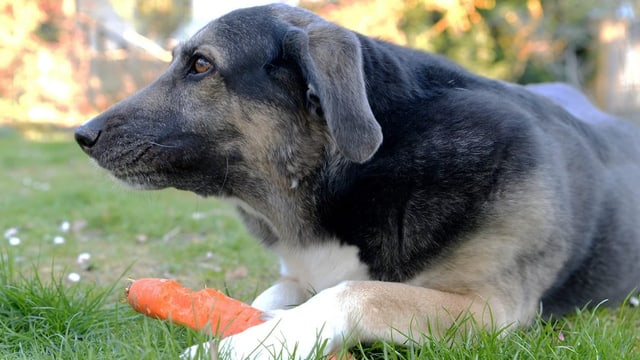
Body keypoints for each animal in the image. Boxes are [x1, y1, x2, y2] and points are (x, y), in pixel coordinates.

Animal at [75, 3, 640, 360]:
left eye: (200, 64)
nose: (81, 135)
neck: (351, 179)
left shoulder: (486, 309)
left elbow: (354, 293)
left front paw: (249, 344)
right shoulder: (296, 278)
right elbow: (268, 298)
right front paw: (260, 326)